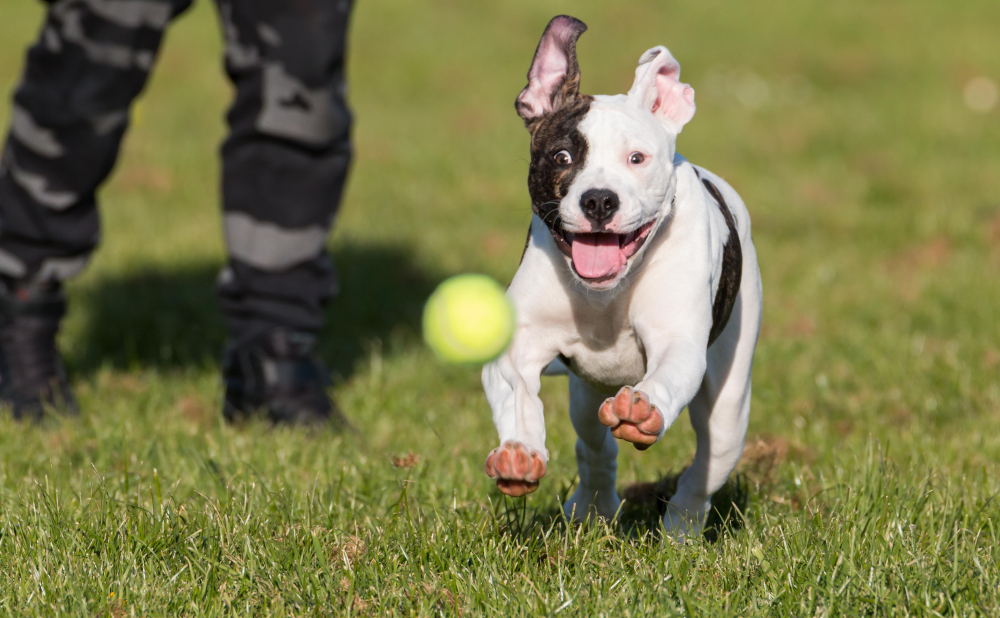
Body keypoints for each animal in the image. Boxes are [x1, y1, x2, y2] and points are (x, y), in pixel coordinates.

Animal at [480, 13, 760, 536]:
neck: (606, 294)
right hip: (585, 395)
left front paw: (642, 408)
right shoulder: (518, 345)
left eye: (637, 159)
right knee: (594, 446)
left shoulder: (677, 341)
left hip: (730, 403)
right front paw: (520, 452)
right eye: (562, 157)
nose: (598, 200)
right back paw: (593, 506)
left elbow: (667, 373)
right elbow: (516, 390)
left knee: (708, 464)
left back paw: (682, 527)